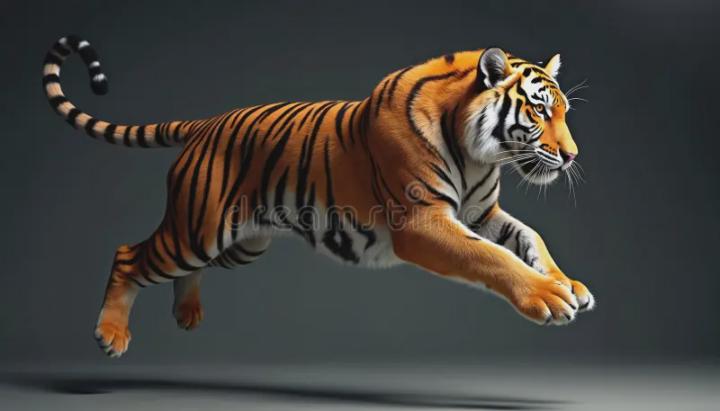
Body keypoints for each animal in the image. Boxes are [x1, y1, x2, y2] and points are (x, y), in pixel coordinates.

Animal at [42, 35, 595, 358]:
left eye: (565, 111)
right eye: (540, 111)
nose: (572, 156)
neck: (480, 153)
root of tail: (205, 124)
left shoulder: (481, 212)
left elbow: (530, 239)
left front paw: (568, 284)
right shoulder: (422, 222)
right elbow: (492, 258)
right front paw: (547, 297)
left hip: (241, 241)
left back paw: (187, 312)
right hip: (197, 231)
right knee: (128, 255)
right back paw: (111, 335)